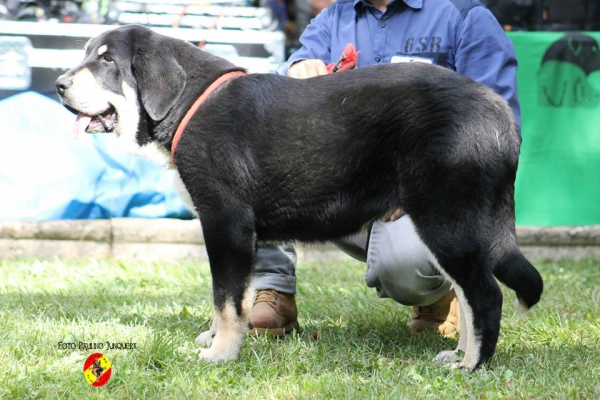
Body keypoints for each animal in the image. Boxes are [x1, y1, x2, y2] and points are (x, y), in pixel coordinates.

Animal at [55, 24, 544, 368]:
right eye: (85, 55)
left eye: (106, 61)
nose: (59, 84)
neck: (189, 104)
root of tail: (499, 111)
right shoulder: (242, 233)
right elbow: (237, 297)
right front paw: (220, 338)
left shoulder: (226, 222)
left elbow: (225, 297)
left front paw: (220, 353)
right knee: (467, 292)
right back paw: (460, 354)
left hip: (444, 219)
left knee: (485, 295)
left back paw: (472, 366)